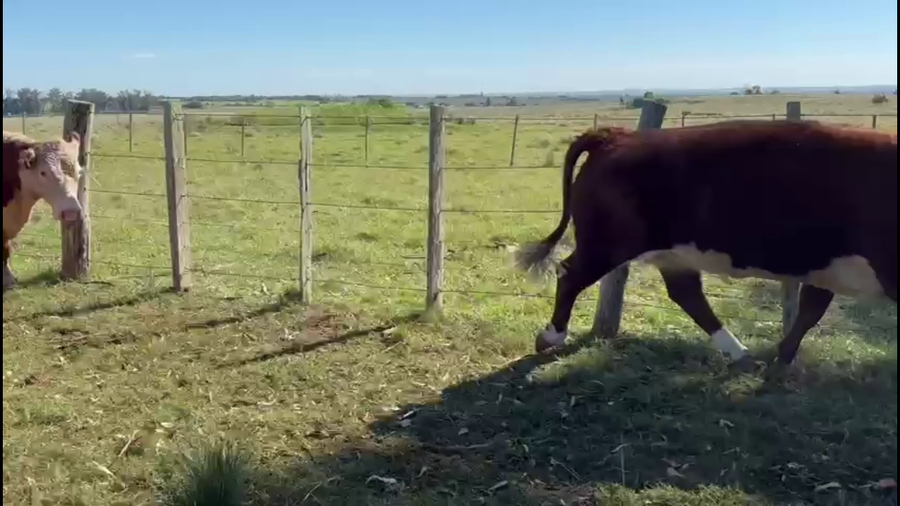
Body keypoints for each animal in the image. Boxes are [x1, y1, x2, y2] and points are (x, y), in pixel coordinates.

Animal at [515, 119, 897, 367]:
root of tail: (619, 136)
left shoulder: (825, 265)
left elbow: (810, 310)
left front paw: (783, 356)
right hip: (607, 243)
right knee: (569, 274)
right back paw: (551, 337)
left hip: (670, 252)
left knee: (687, 294)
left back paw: (740, 354)